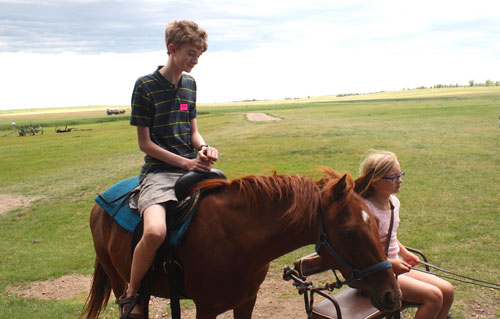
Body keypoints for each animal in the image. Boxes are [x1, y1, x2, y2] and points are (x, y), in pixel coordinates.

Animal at [82, 169, 402, 318]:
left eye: (375, 222)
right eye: (348, 233)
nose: (393, 295)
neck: (236, 241)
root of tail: (101, 201)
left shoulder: (247, 301)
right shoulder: (206, 308)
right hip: (119, 280)